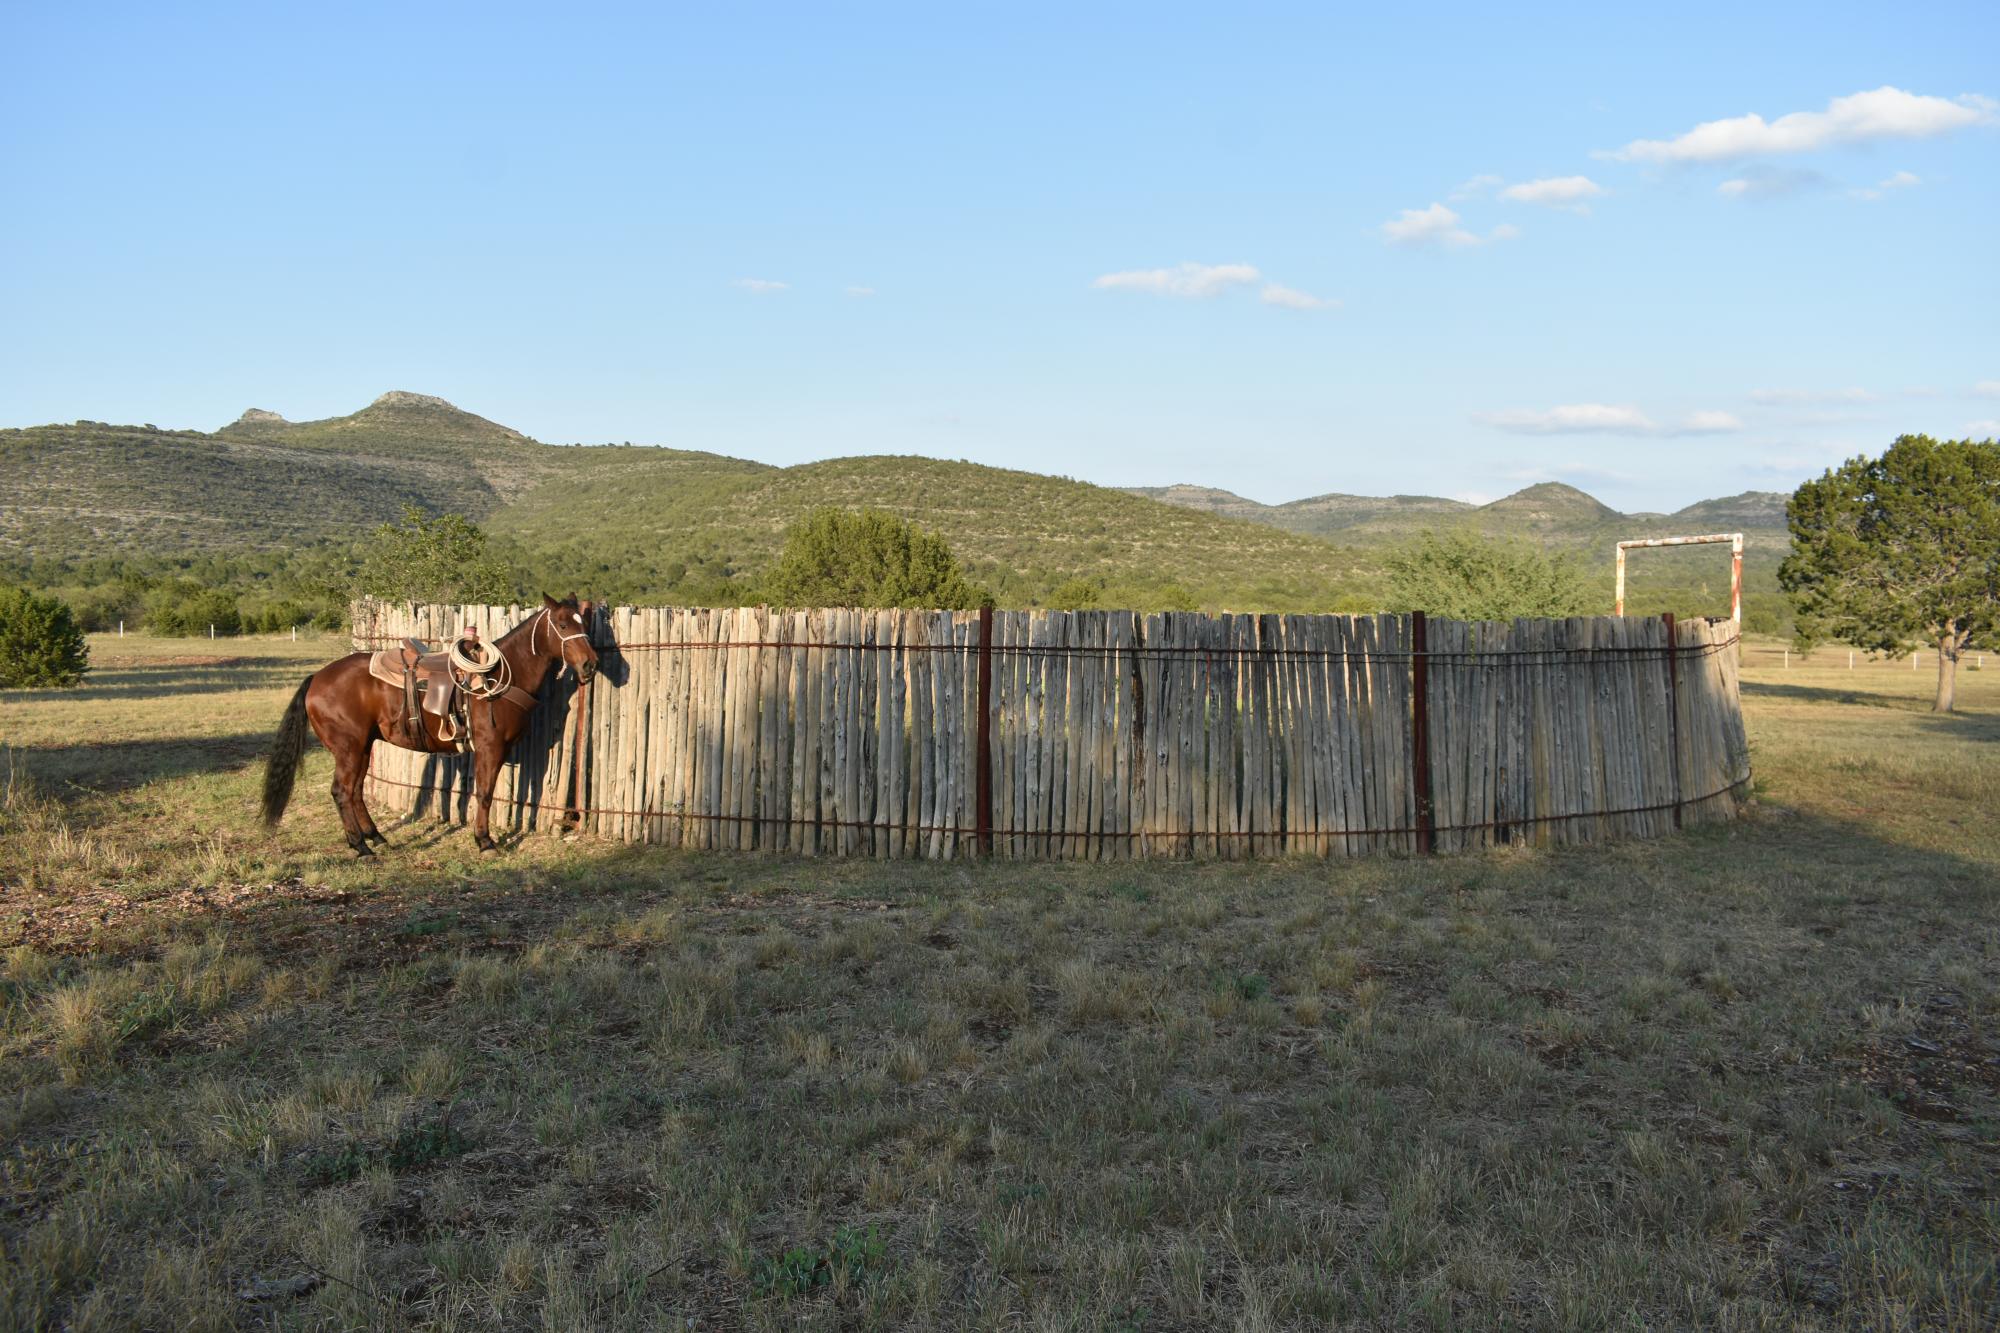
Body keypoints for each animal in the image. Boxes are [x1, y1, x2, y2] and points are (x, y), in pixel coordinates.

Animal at [262, 592, 596, 852]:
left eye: (585, 624)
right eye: (563, 625)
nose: (590, 664)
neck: (500, 675)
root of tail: (317, 678)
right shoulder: (490, 746)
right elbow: (485, 793)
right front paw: (484, 841)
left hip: (363, 746)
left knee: (355, 790)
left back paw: (376, 837)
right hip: (349, 748)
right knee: (341, 791)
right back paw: (359, 846)